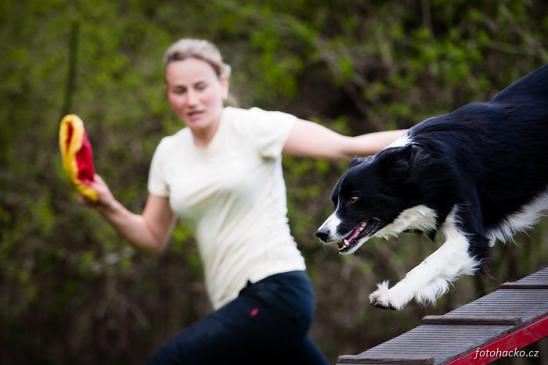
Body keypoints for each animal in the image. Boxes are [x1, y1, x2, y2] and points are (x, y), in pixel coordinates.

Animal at [316, 64, 548, 308]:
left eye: (354, 198)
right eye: (335, 201)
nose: (321, 234)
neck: (420, 170)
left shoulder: (470, 234)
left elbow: (428, 263)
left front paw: (390, 296)